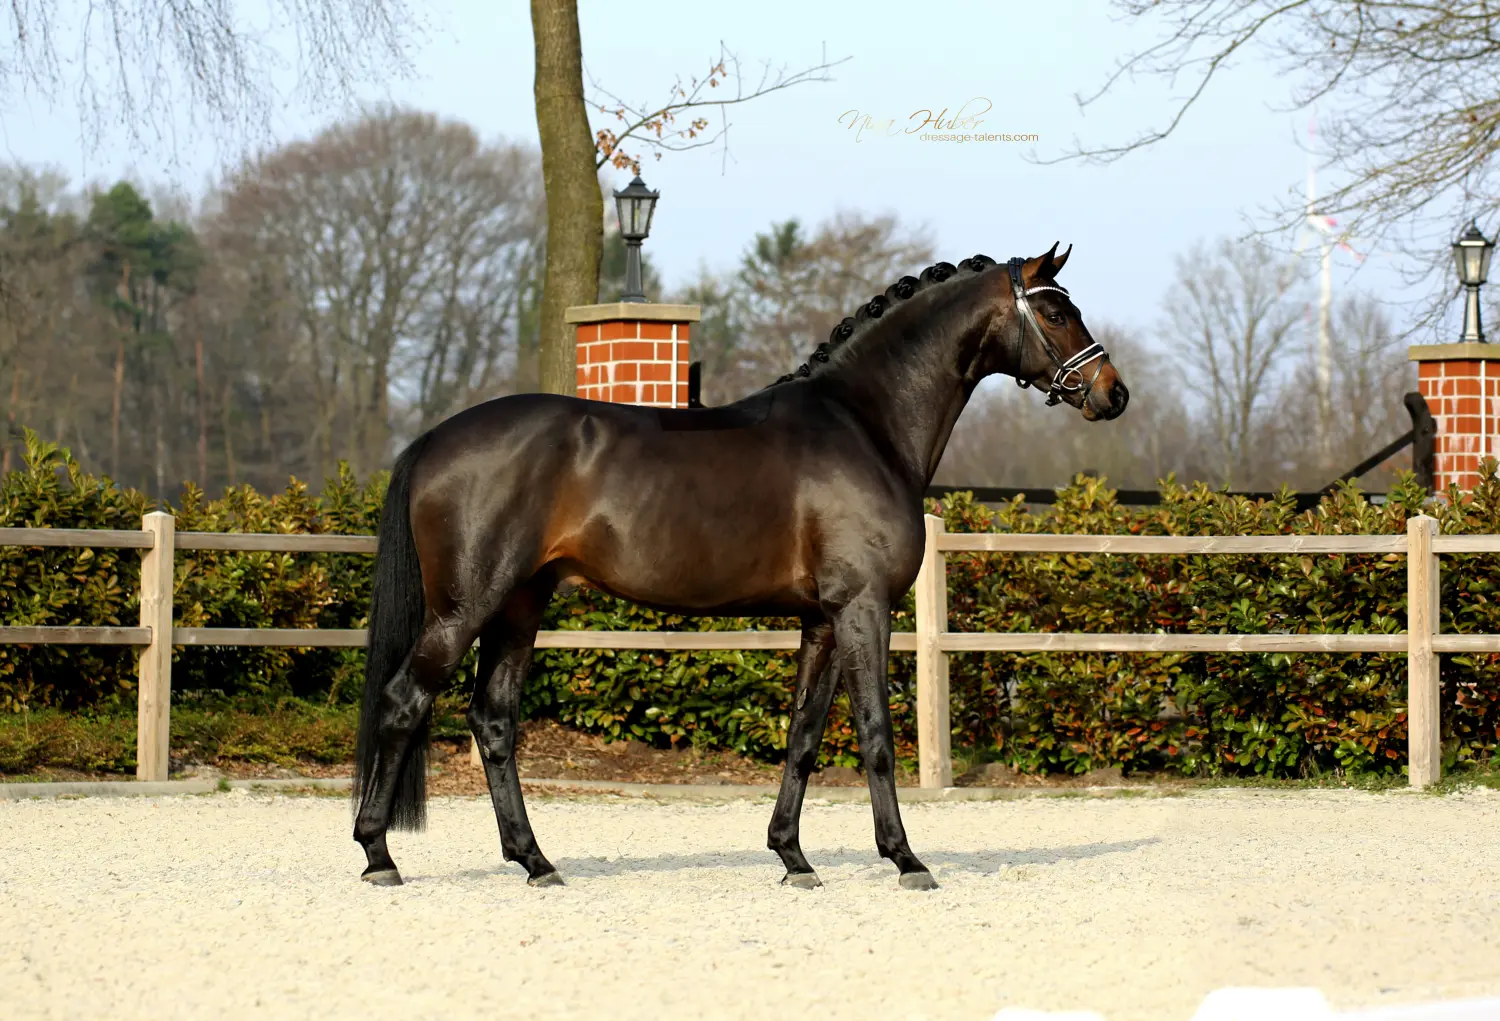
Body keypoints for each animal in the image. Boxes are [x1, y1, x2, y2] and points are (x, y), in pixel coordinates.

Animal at [351, 244, 1129, 891]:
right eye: (1056, 311)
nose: (1113, 392)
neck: (864, 425)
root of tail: (432, 439)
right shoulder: (863, 608)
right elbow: (876, 735)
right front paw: (906, 859)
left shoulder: (822, 619)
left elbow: (804, 737)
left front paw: (793, 857)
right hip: (466, 607)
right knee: (403, 702)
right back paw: (380, 855)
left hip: (519, 605)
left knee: (493, 720)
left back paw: (535, 861)